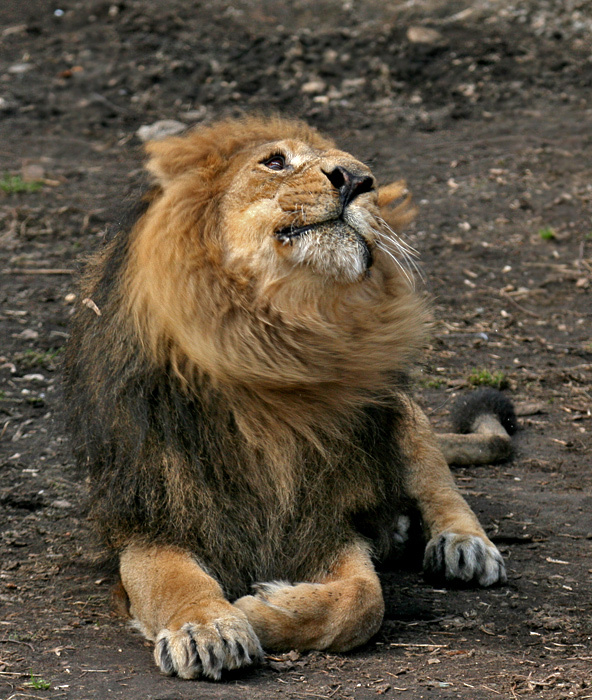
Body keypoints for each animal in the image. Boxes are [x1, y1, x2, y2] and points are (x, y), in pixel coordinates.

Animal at [64, 115, 515, 681]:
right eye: (275, 161)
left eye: (367, 173)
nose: (356, 180)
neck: (273, 355)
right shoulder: (151, 515)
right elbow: (176, 580)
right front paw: (208, 627)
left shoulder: (324, 517)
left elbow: (363, 602)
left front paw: (259, 608)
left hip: (403, 415)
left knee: (438, 480)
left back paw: (463, 544)